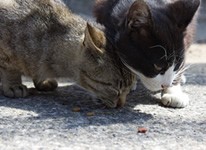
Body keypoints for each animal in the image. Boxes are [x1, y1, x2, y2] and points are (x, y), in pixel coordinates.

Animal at [0, 0, 137, 108]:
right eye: (114, 87)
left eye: (129, 88)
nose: (121, 104)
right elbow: (10, 69)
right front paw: (14, 85)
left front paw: (42, 81)